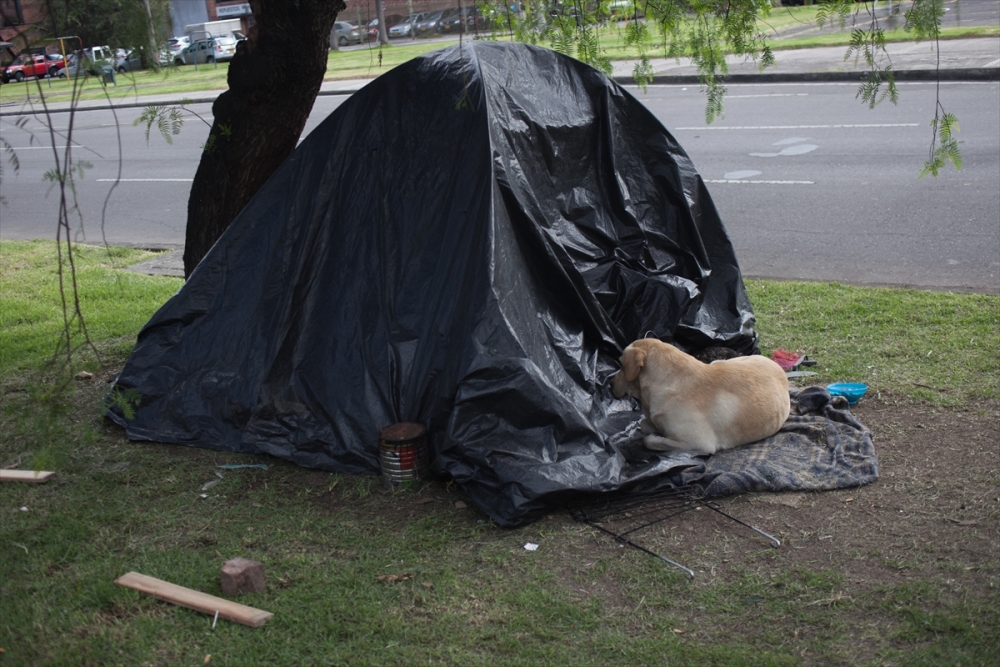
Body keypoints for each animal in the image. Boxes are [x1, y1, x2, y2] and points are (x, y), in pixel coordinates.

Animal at [608, 340, 788, 454]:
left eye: (621, 364)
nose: (609, 384)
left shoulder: (699, 444)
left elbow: (649, 440)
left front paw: (657, 435)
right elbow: (645, 423)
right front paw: (656, 429)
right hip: (720, 361)